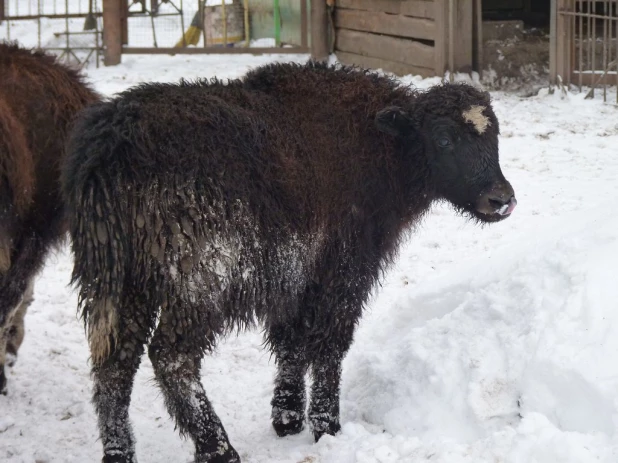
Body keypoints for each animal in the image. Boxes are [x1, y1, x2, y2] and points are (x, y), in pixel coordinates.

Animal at [62, 61, 516, 463]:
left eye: (493, 136)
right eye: (444, 139)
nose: (501, 199)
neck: (381, 146)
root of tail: (111, 143)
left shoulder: (298, 277)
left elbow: (292, 342)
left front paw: (287, 417)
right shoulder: (346, 268)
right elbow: (330, 343)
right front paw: (326, 425)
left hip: (121, 281)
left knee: (114, 364)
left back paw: (119, 453)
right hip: (197, 280)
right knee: (172, 357)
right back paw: (218, 449)